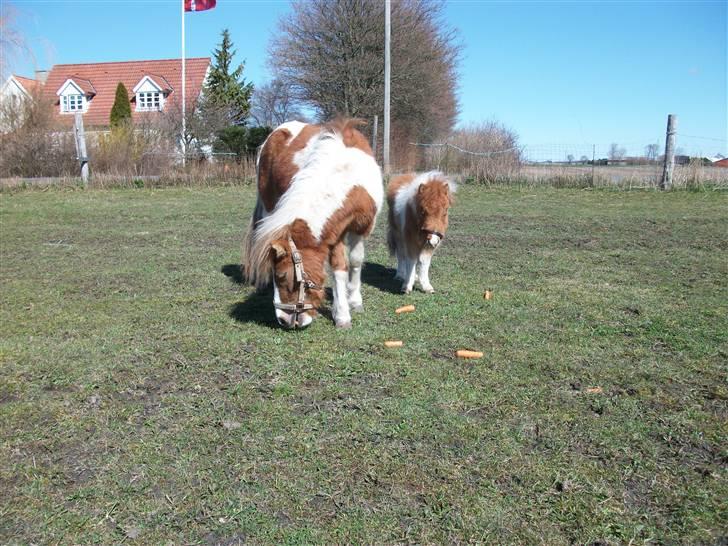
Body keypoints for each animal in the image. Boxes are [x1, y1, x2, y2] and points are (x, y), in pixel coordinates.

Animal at [243, 119, 384, 328]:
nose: (283, 320)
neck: (347, 174)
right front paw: (342, 314)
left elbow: (355, 261)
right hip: (268, 206)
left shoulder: (360, 227)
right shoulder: (335, 232)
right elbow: (339, 267)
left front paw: (354, 301)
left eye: (282, 276)